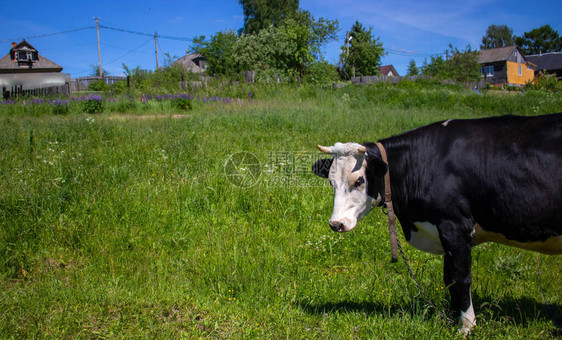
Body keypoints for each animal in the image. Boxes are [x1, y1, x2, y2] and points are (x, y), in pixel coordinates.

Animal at [310, 113, 560, 334]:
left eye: (359, 180)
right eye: (331, 182)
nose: (336, 223)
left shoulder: (455, 226)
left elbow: (461, 278)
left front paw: (466, 326)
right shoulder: (443, 229)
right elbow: (449, 279)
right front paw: (451, 319)